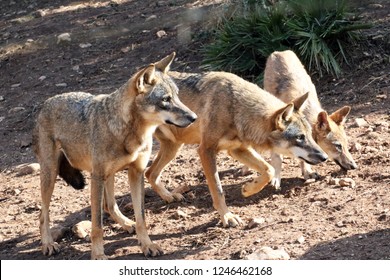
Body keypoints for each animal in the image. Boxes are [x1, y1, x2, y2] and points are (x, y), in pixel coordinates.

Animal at [32, 53, 198, 260]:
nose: (194, 117)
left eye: (177, 96)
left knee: (109, 205)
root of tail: (46, 103)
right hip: (52, 174)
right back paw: (48, 244)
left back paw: (127, 224)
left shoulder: (136, 173)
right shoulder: (96, 177)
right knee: (43, 214)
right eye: (165, 99)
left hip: (107, 176)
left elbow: (141, 217)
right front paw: (98, 255)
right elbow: (97, 226)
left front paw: (147, 245)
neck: (130, 132)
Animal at [145, 71, 328, 229]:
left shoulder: (237, 150)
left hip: (174, 148)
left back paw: (169, 196)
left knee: (150, 173)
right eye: (300, 137)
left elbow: (268, 170)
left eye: (309, 135)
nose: (324, 157)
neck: (235, 107)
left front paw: (248, 189)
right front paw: (227, 217)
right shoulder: (206, 150)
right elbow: (218, 190)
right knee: (148, 172)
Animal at [264, 50, 358, 190]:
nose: (354, 166)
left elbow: (303, 157)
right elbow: (277, 159)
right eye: (338, 146)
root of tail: (280, 52)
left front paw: (307, 172)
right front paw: (276, 178)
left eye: (346, 145)